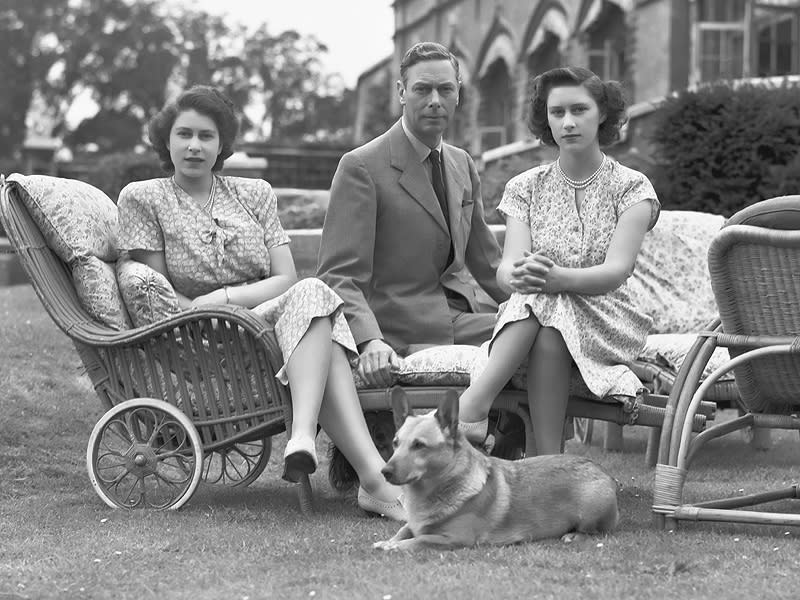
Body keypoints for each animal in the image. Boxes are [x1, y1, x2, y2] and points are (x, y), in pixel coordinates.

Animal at [376, 386, 620, 552]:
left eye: (419, 445)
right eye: (396, 443)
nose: (384, 472)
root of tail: (602, 471)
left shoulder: (455, 538)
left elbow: (420, 539)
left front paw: (392, 546)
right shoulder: (413, 525)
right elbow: (404, 531)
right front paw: (389, 541)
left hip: (590, 512)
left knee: (597, 532)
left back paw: (574, 536)